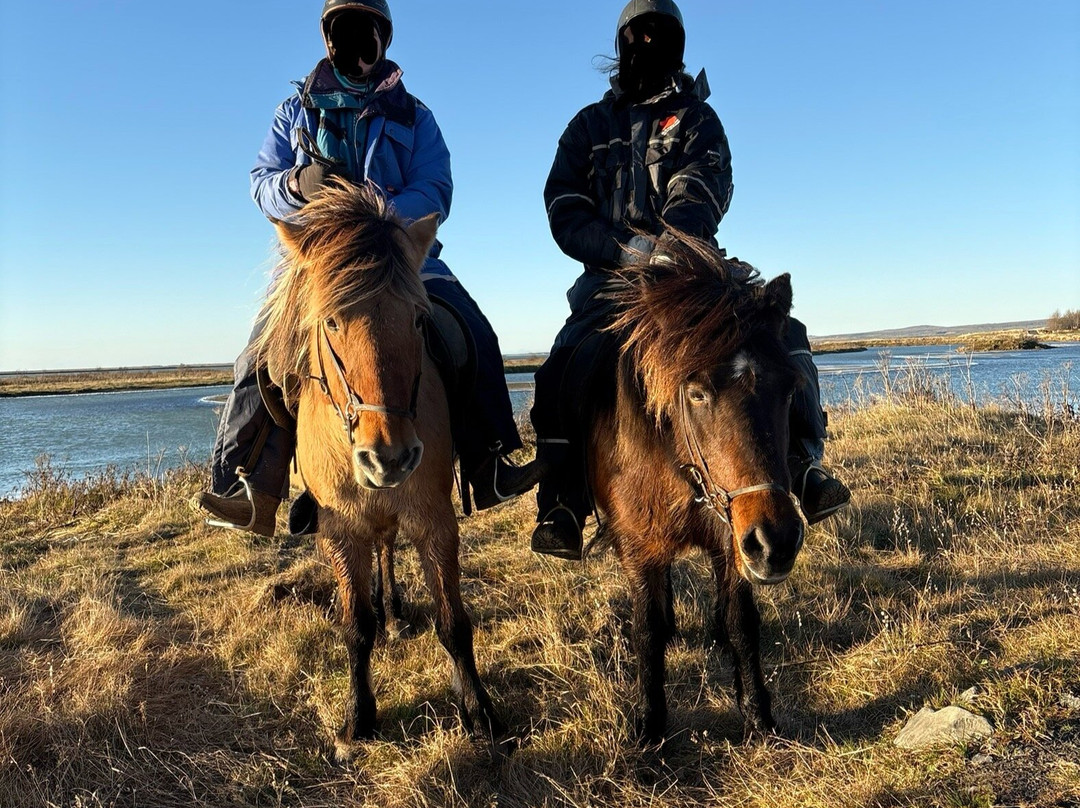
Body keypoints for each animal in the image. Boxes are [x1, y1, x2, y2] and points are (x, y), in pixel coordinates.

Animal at [255, 180, 510, 760]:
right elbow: (354, 627)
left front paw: (478, 710)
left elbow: (453, 622)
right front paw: (357, 721)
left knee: (389, 549)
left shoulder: (434, 518)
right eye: (330, 320)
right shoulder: (340, 528)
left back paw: (392, 611)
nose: (389, 456)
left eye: (417, 318)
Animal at [586, 234, 805, 744]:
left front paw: (758, 714)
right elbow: (646, 630)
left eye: (789, 389)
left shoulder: (733, 540)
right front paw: (650, 726)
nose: (777, 541)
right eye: (697, 392)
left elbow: (742, 623)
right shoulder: (639, 549)